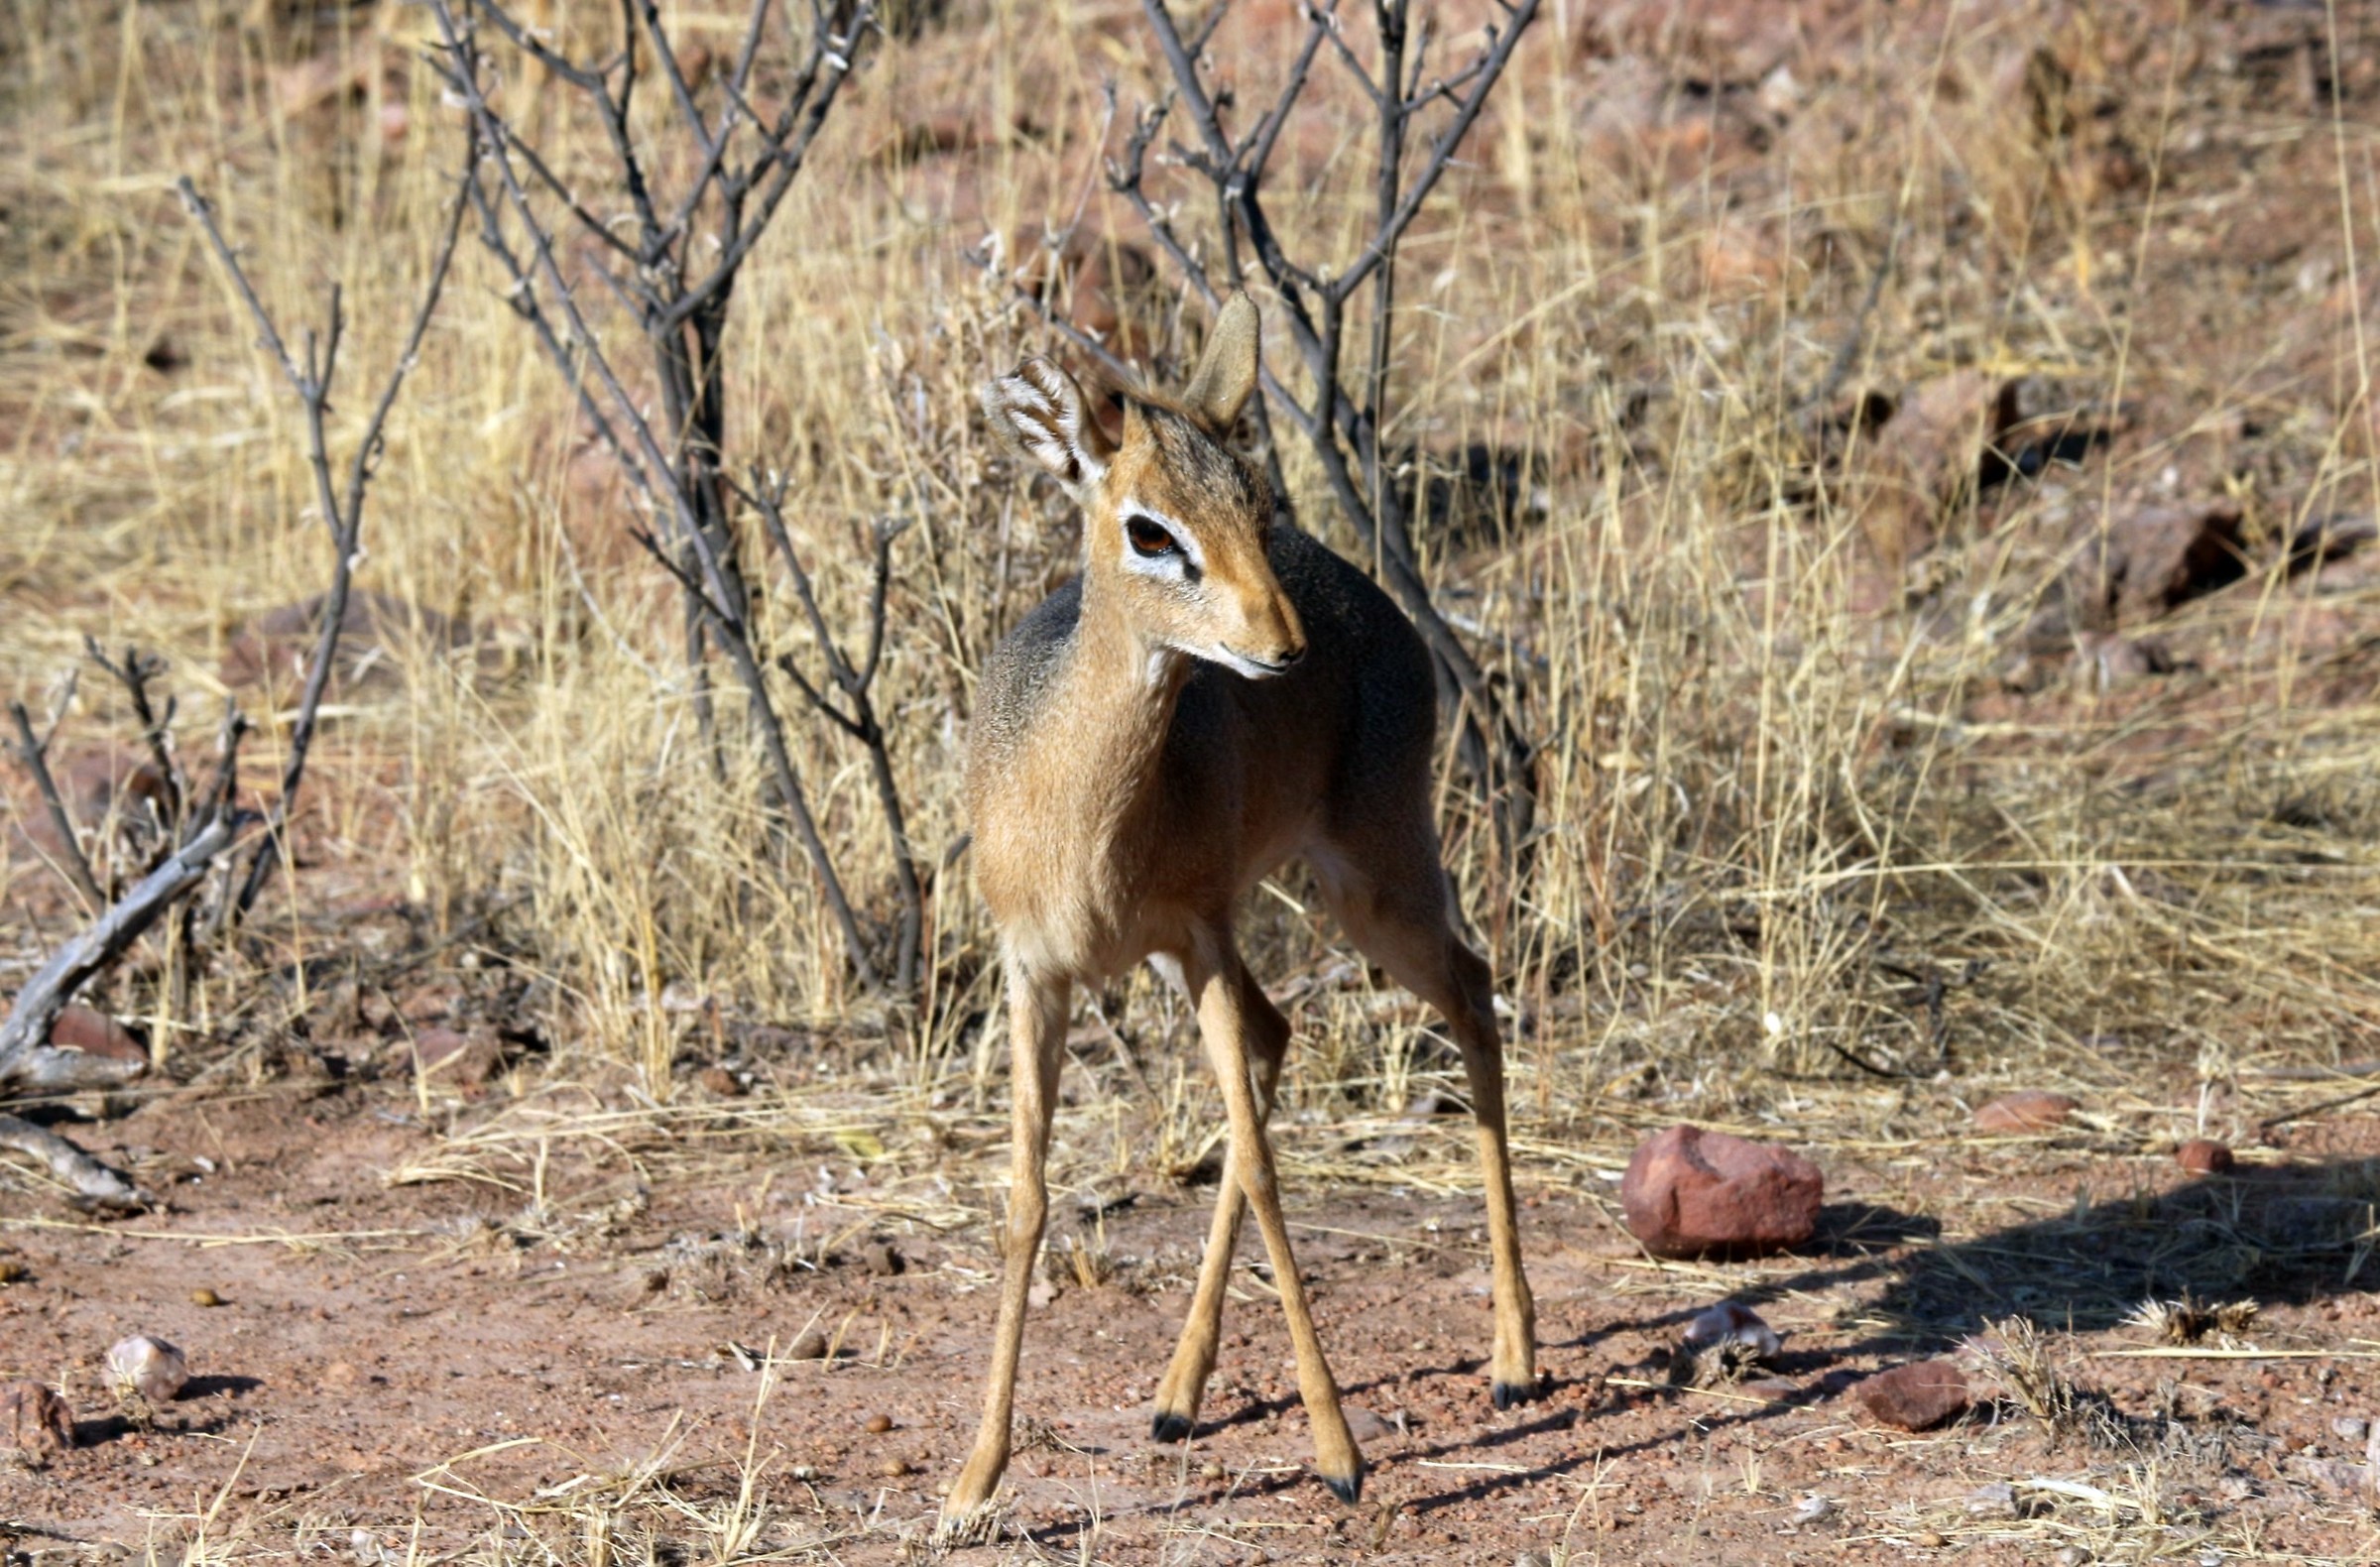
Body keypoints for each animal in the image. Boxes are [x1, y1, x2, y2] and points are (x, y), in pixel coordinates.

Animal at [937, 287, 1532, 1523]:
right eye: (1149, 529)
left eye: (1257, 499)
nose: (1281, 643)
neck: (1076, 808)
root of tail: (1369, 596)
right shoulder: (1037, 972)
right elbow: (1025, 1196)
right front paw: (974, 1475)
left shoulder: (1203, 936)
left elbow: (1258, 1167)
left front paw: (1340, 1452)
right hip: (1211, 947)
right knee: (1280, 1029)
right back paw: (1177, 1391)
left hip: (1371, 881)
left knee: (1469, 988)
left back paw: (1513, 1357)